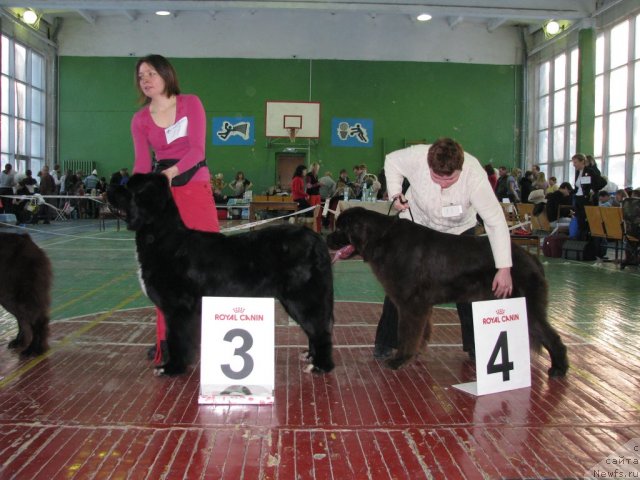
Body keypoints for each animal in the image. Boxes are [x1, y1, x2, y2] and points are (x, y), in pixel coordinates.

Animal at [109, 172, 336, 376]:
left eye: (128, 186)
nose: (110, 187)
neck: (163, 237)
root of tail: (317, 240)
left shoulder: (178, 307)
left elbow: (177, 338)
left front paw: (172, 367)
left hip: (303, 297)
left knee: (320, 329)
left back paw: (320, 366)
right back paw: (310, 356)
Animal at [328, 208, 568, 376]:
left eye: (340, 229)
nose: (326, 239)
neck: (382, 239)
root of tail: (530, 257)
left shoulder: (411, 304)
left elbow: (407, 333)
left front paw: (400, 359)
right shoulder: (419, 305)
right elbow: (420, 332)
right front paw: (415, 354)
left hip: (526, 303)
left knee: (551, 335)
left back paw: (559, 369)